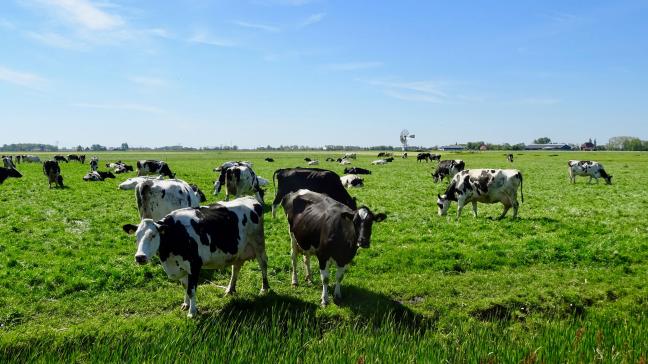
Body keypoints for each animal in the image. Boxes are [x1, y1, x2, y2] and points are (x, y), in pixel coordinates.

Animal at [123, 196, 270, 318]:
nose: (140, 257)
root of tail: (250, 198)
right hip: (238, 251)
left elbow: (191, 290)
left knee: (263, 265)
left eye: (153, 235)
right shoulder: (180, 267)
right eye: (136, 237)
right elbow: (185, 286)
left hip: (259, 244)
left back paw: (264, 289)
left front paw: (192, 312)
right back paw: (230, 289)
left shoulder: (194, 265)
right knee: (236, 268)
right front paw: (186, 304)